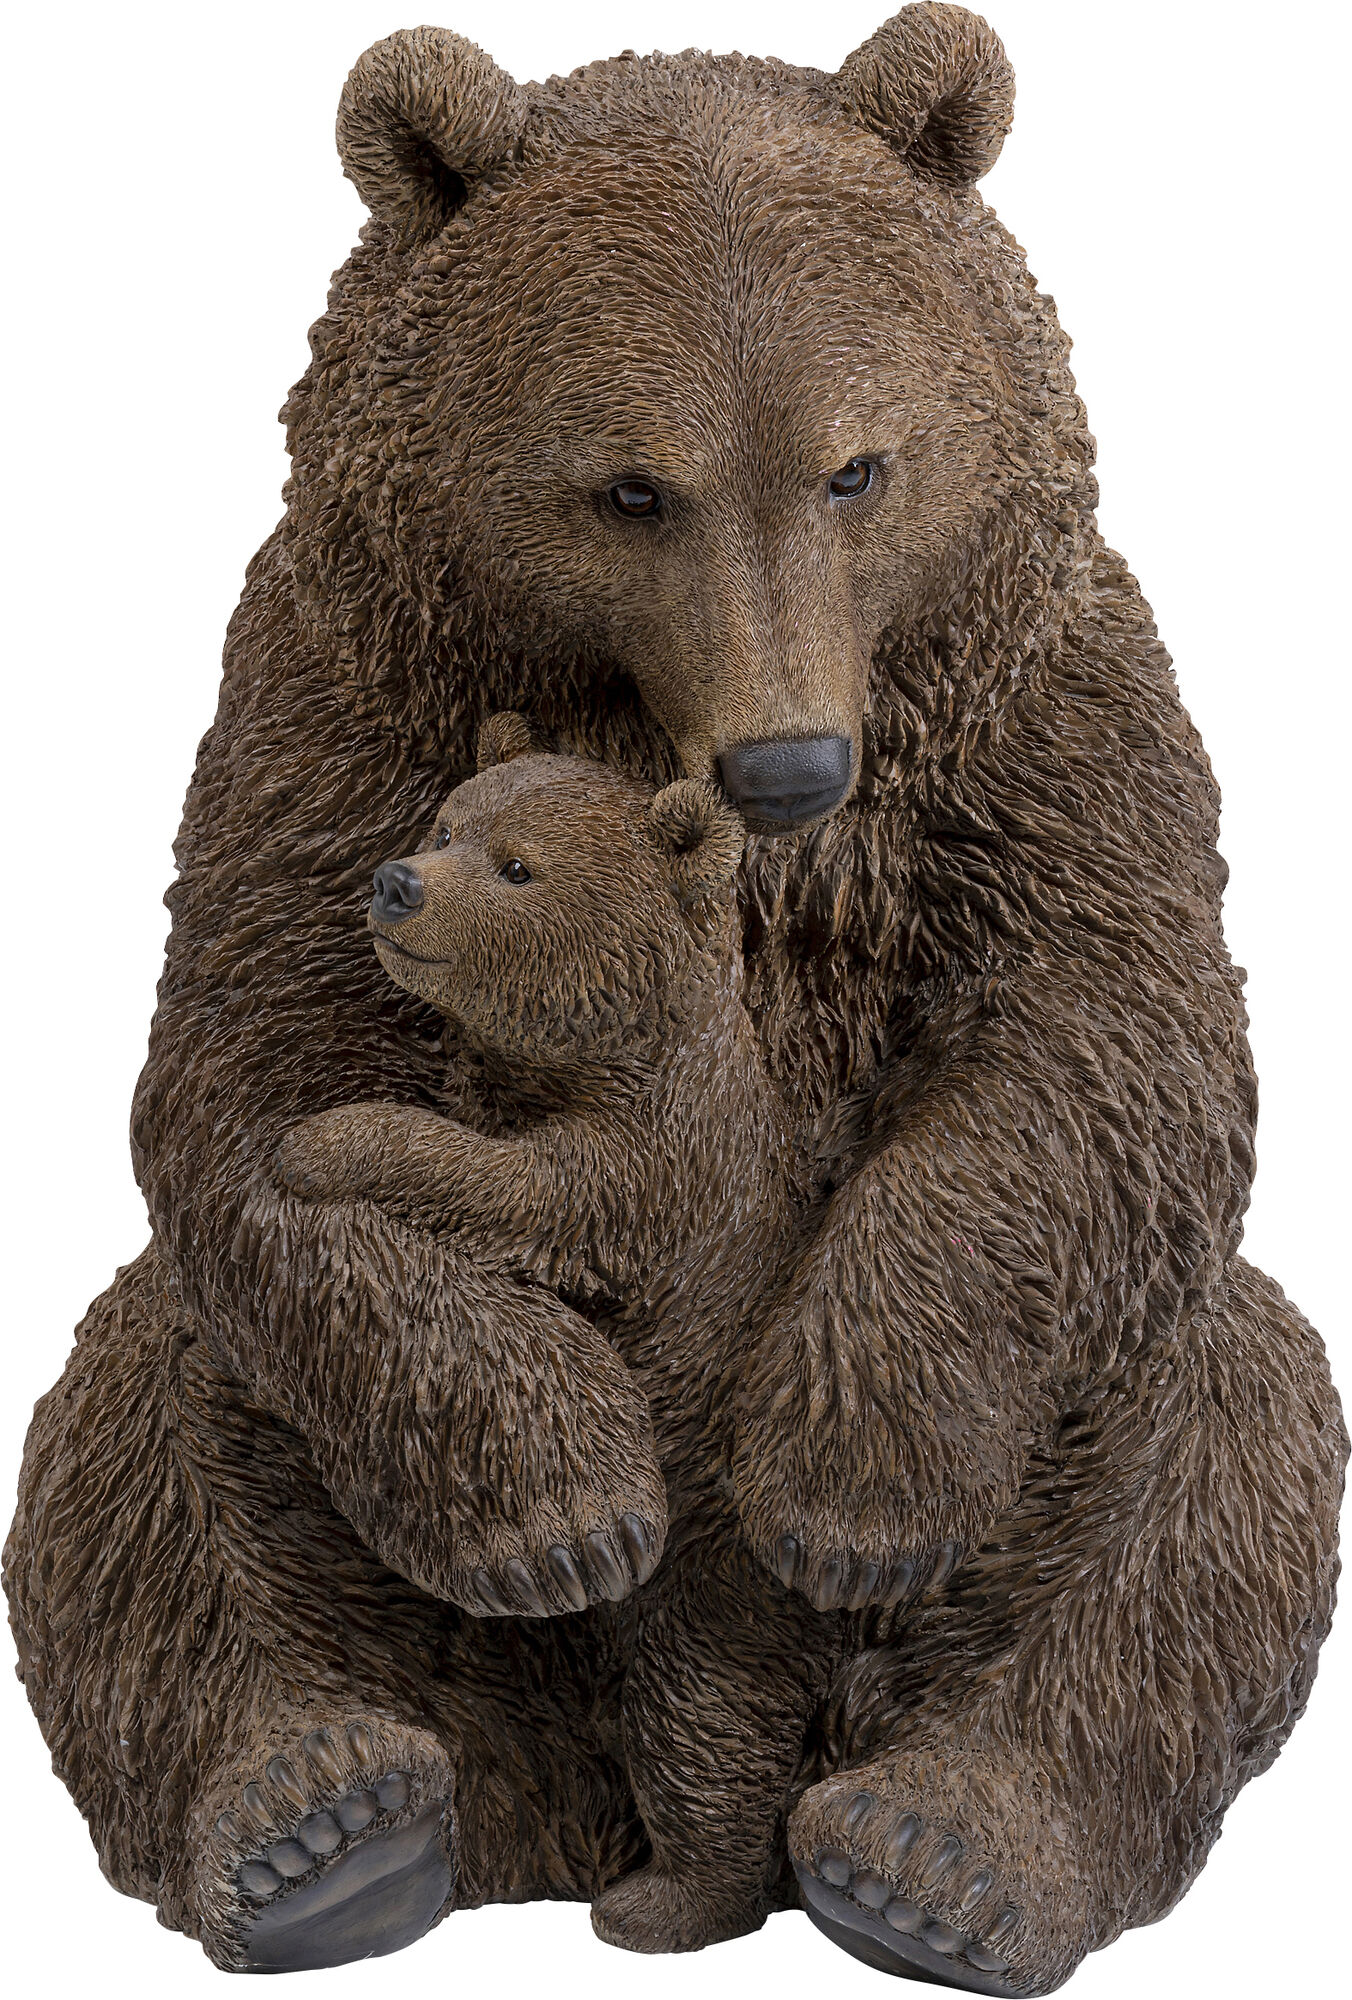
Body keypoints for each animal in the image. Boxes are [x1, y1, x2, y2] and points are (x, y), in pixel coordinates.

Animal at [274, 712, 837, 1953]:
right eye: (444, 822)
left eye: (518, 865)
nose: (397, 882)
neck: (603, 1049)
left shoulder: (651, 1164)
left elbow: (505, 1182)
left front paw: (321, 1140)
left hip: (705, 1567)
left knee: (706, 1723)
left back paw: (666, 1897)